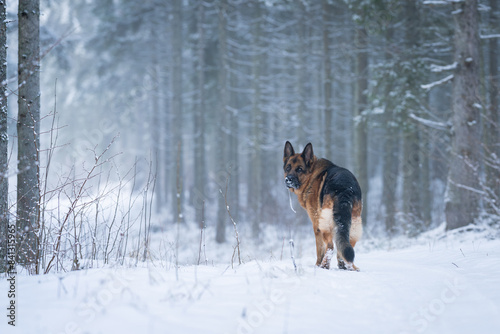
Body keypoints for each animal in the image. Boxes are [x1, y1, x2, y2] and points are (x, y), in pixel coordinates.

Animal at [284, 142, 362, 270]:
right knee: (345, 246)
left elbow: (319, 248)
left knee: (330, 246)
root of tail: (345, 187)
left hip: (325, 224)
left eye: (299, 169)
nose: (288, 180)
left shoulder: (316, 225)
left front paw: (317, 265)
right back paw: (347, 266)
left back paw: (324, 266)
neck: (311, 174)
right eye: (288, 168)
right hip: (354, 223)